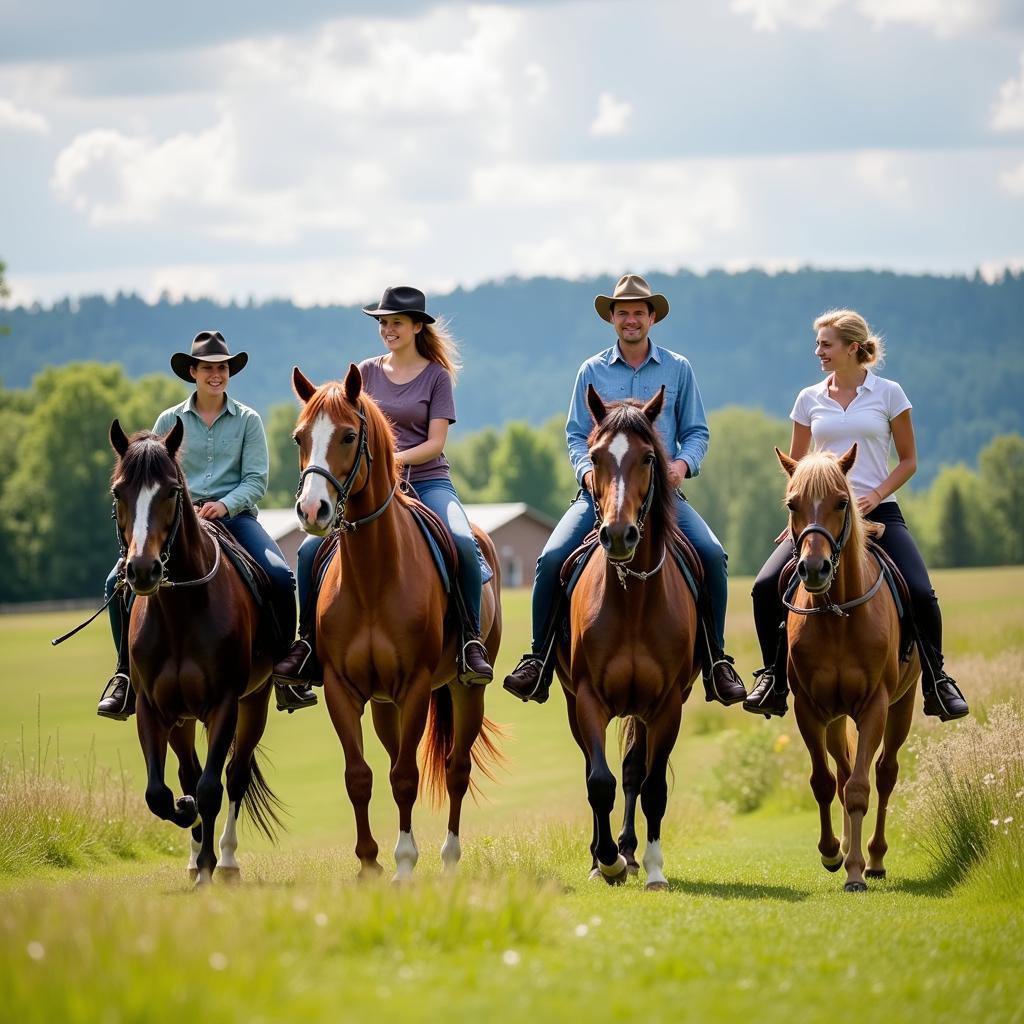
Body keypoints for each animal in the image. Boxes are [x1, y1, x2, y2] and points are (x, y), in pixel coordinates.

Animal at [108, 419, 282, 884]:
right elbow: (160, 792)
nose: (143, 571)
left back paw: (226, 860)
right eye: (119, 492)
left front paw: (209, 863)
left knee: (234, 777)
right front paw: (187, 822)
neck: (180, 611)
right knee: (188, 771)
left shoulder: (224, 704)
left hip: (254, 703)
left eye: (171, 491)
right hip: (182, 718)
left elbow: (210, 788)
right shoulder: (152, 708)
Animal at [290, 362, 501, 880]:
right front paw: (369, 862)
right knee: (388, 762)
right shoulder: (342, 688)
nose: (311, 510)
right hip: (385, 704)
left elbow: (406, 777)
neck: (372, 576)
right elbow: (360, 775)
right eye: (300, 437)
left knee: (456, 769)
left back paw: (448, 858)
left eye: (348, 436)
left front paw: (405, 863)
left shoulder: (416, 686)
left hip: (465, 691)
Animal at [557, 385, 700, 888]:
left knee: (636, 772)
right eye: (596, 456)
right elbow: (599, 781)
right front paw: (606, 861)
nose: (619, 535)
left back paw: (633, 852)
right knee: (595, 768)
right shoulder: (587, 697)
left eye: (648, 458)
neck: (633, 598)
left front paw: (651, 866)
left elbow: (651, 785)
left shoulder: (668, 704)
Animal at [774, 444, 921, 892]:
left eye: (842, 502)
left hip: (902, 706)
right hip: (837, 719)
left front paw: (856, 870)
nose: (814, 569)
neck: (837, 614)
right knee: (839, 773)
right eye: (792, 504)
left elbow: (859, 787)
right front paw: (830, 852)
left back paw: (875, 859)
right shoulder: (809, 708)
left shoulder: (875, 706)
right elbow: (824, 783)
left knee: (885, 773)